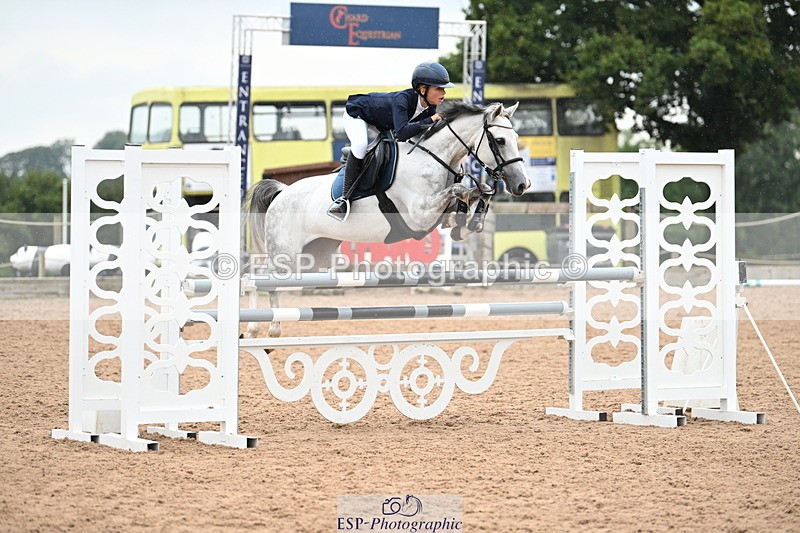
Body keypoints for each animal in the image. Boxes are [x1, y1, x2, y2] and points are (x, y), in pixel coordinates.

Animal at [244, 101, 530, 338]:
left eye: (516, 138)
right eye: (500, 140)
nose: (522, 184)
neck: (434, 159)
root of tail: (282, 192)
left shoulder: (437, 215)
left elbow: (472, 195)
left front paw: (471, 222)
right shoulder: (418, 215)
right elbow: (459, 190)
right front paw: (470, 214)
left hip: (314, 259)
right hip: (285, 255)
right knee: (260, 277)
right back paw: (263, 327)